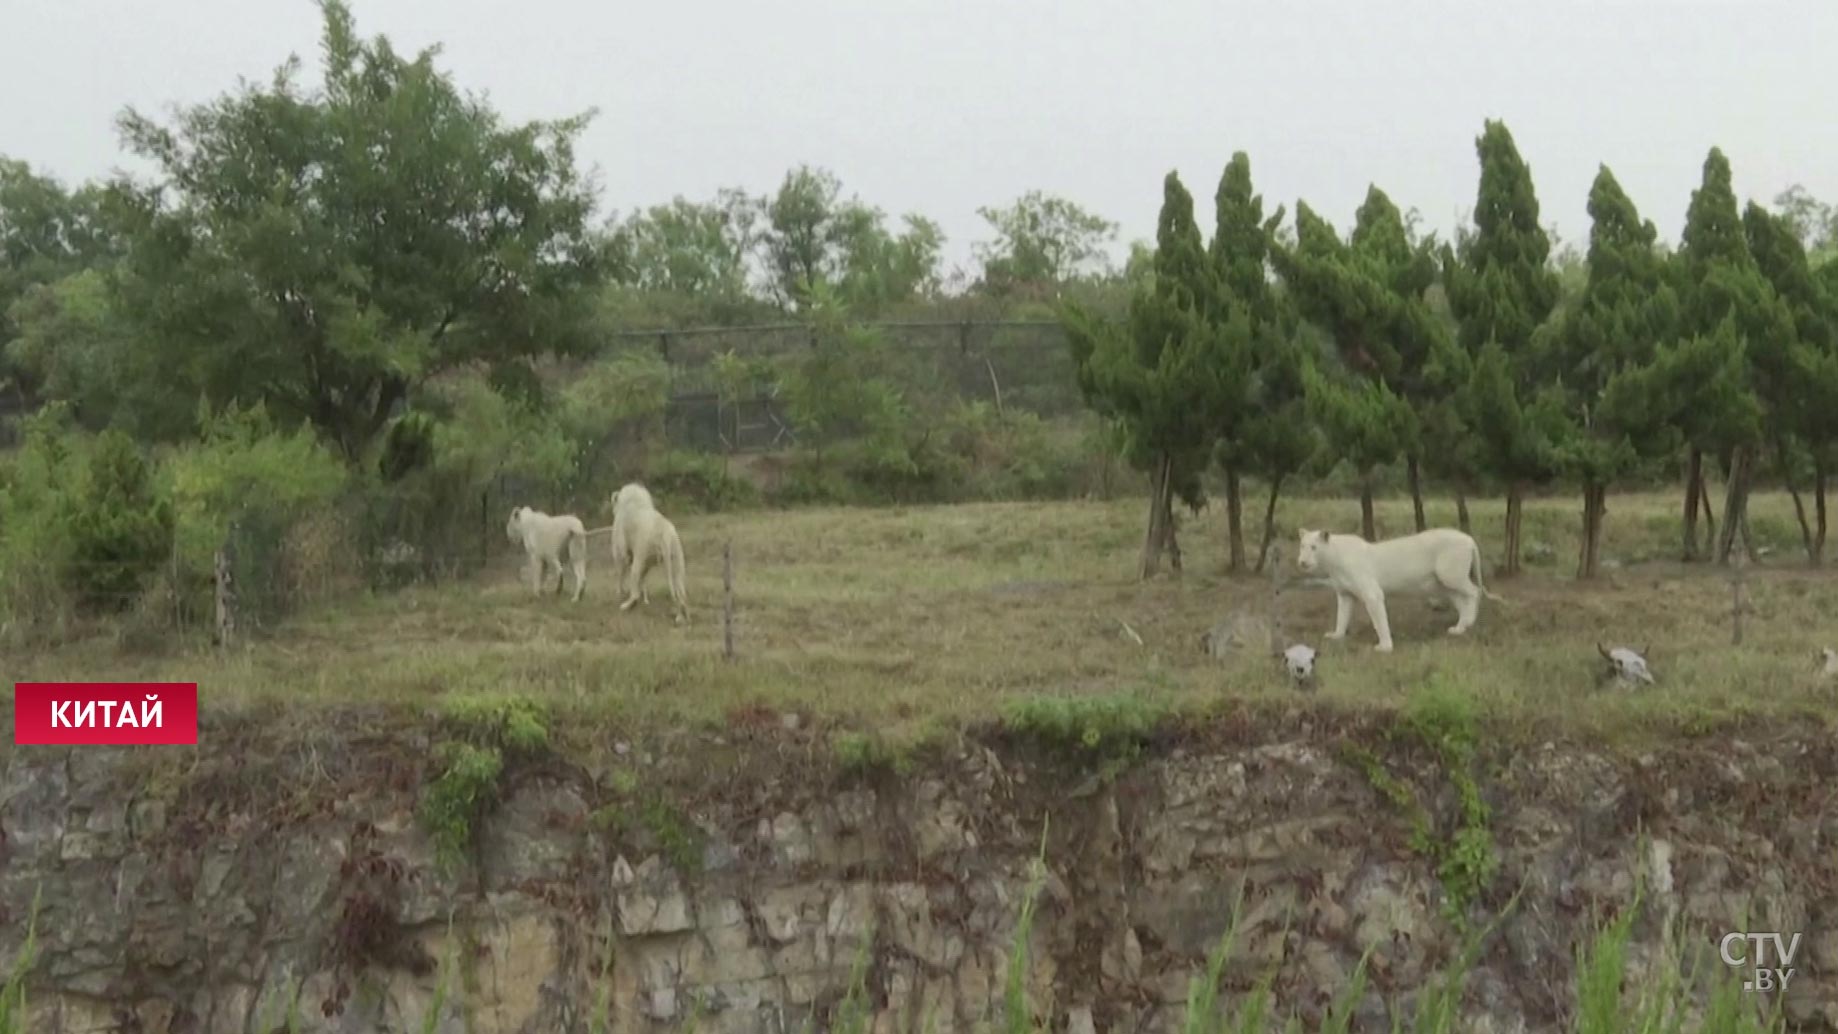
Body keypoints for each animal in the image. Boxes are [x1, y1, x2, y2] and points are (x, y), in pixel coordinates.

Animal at [610, 484, 691, 624]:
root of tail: (665, 532)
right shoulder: (648, 562)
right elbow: (643, 579)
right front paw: (646, 599)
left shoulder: (621, 550)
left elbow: (621, 573)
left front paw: (619, 593)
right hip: (676, 558)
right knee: (681, 593)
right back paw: (680, 618)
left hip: (640, 554)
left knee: (634, 591)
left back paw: (625, 606)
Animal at [1301, 525, 1499, 653]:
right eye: (1302, 546)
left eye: (1314, 547)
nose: (1302, 562)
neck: (1331, 562)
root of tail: (1468, 538)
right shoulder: (1345, 595)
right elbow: (1342, 616)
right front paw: (1337, 635)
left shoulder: (1372, 594)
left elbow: (1379, 621)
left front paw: (1385, 646)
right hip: (1443, 584)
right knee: (1462, 601)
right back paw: (1460, 627)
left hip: (1450, 575)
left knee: (1474, 592)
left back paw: (1467, 623)